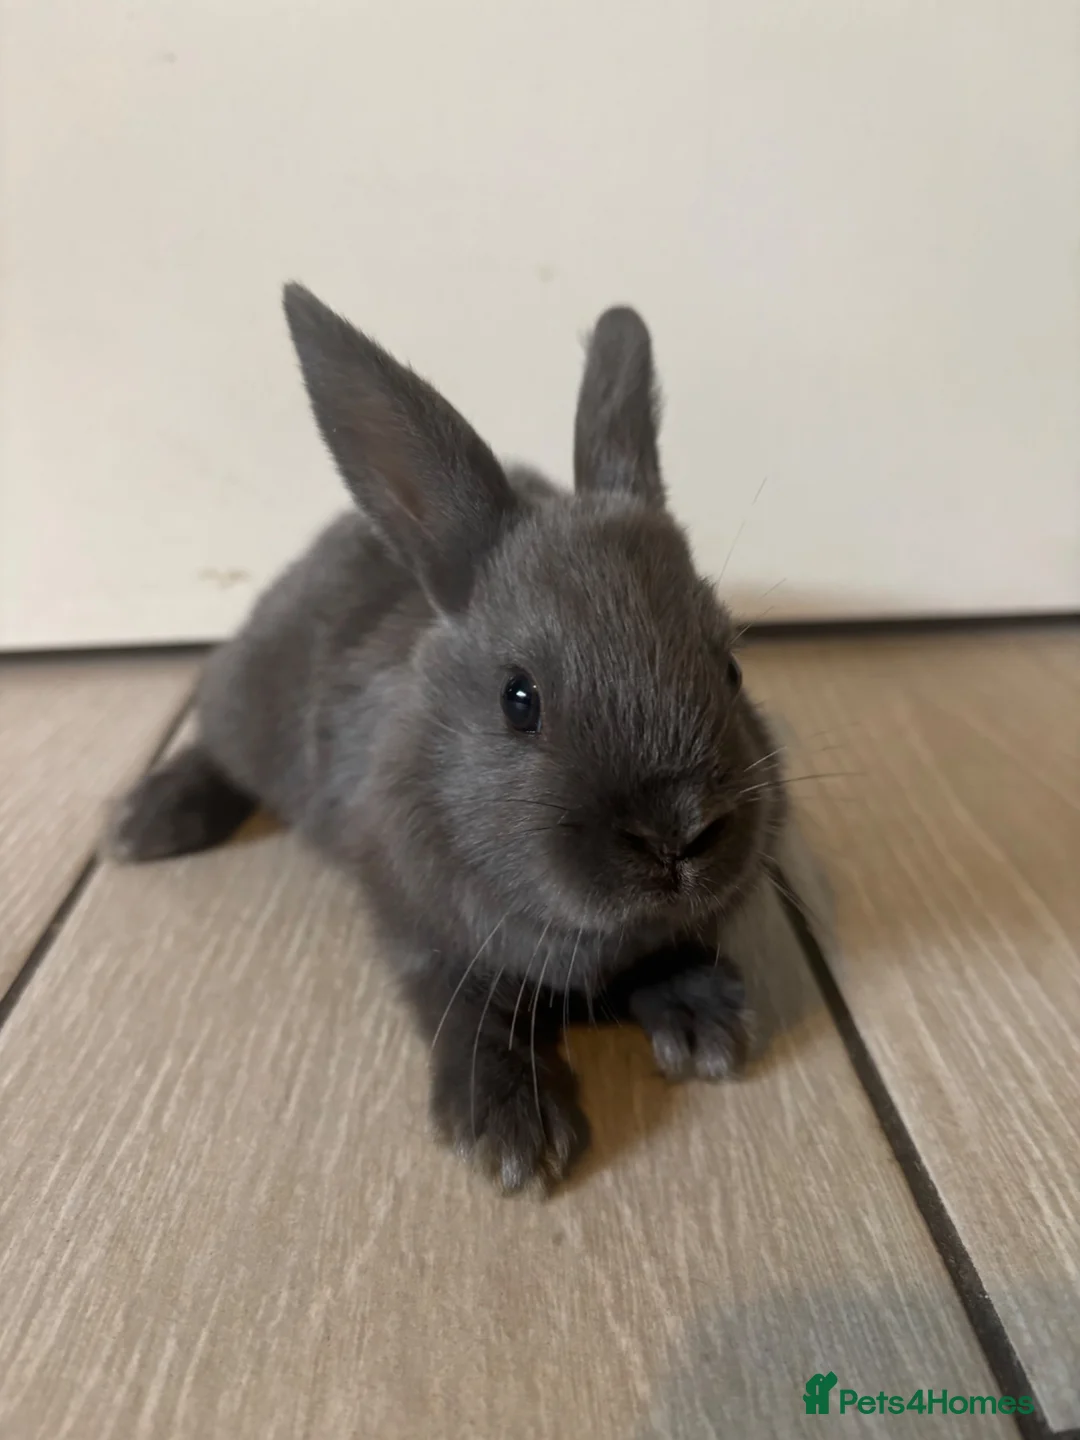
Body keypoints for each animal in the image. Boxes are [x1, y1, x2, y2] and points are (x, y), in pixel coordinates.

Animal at [107, 284, 787, 1193]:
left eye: (731, 667)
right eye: (519, 699)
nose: (677, 835)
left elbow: (672, 949)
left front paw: (705, 1022)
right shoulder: (421, 933)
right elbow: (466, 1014)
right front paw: (510, 1134)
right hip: (249, 705)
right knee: (213, 744)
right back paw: (145, 823)